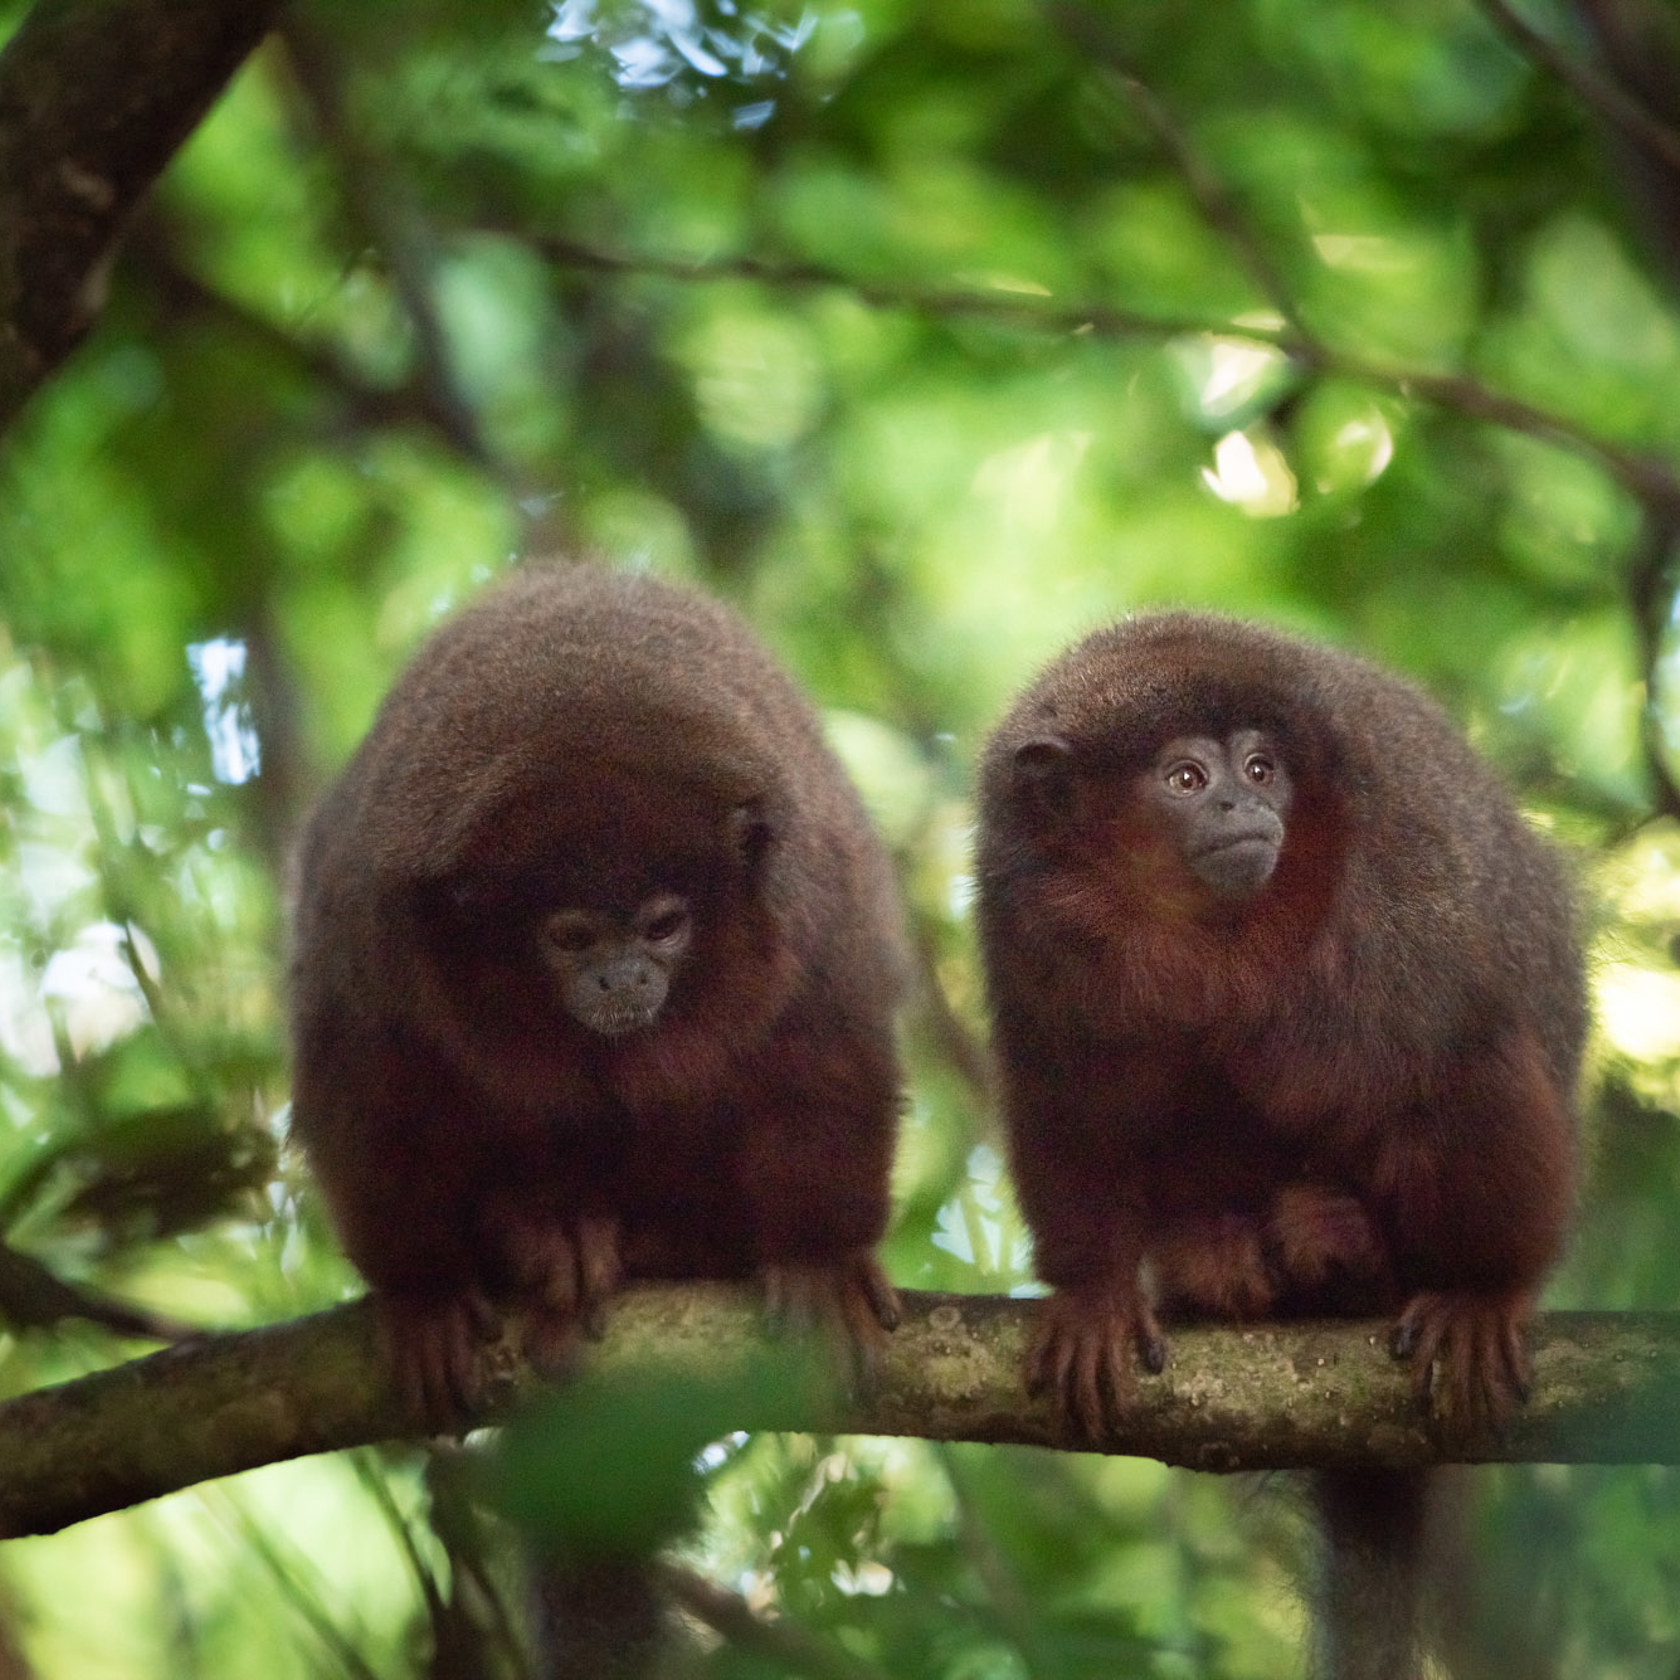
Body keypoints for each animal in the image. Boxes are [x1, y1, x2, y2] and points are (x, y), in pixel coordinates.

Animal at [288, 563, 905, 1428]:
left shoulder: (816, 913)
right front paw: (427, 1294)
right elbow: (373, 1112)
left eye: (663, 926)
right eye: (573, 937)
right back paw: (549, 1232)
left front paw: (820, 1261)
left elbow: (827, 1068)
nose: (624, 978)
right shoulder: (370, 946)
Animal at [974, 611, 1585, 1680]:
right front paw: (1093, 1296)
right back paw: (1223, 1255)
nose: (1240, 802)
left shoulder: (1396, 871)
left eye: (1262, 768)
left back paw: (1362, 1253)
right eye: (1185, 778)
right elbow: (1071, 1105)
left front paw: (1480, 1292)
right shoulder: (1023, 917)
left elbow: (1452, 1043)